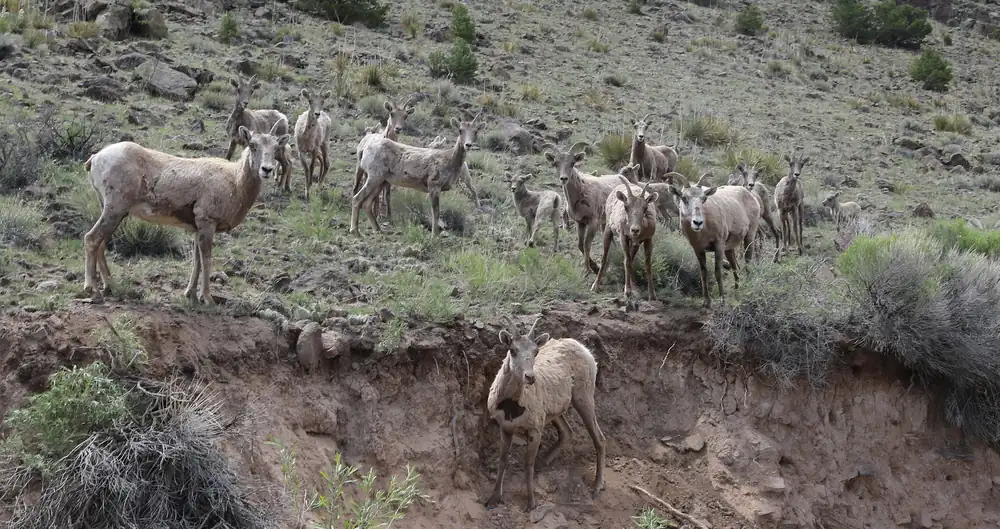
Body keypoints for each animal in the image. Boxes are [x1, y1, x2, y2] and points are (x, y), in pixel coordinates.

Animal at [82, 119, 290, 305]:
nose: (267, 170)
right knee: (91, 239)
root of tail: (96, 158)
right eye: (253, 145)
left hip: (113, 211)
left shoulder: (197, 228)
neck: (235, 182)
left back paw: (110, 286)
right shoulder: (207, 223)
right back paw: (93, 290)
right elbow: (206, 259)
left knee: (101, 243)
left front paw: (190, 295)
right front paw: (207, 299)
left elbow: (196, 261)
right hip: (114, 210)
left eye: (275, 148)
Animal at [350, 115, 483, 236]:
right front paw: (434, 236)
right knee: (357, 198)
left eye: (476, 131)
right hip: (374, 177)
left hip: (381, 181)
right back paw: (355, 231)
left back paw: (378, 230)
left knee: (366, 204)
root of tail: (365, 148)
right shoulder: (434, 187)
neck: (450, 160)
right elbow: (436, 213)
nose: (468, 145)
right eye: (460, 130)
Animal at [485, 316, 605, 512]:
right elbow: (502, 461)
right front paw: (493, 500)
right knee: (567, 432)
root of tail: (585, 350)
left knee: (599, 439)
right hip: (556, 411)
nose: (530, 377)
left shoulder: (535, 429)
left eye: (535, 351)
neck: (512, 407)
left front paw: (530, 504)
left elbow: (528, 464)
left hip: (584, 398)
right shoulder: (505, 427)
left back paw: (596, 487)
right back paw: (544, 462)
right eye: (513, 350)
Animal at [544, 142, 634, 275]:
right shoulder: (580, 223)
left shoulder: (592, 222)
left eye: (572, 163)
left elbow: (587, 245)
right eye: (555, 163)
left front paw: (588, 269)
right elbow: (580, 245)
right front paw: (594, 267)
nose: (564, 178)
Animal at [668, 175, 761, 308]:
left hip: (749, 236)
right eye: (684, 198)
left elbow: (718, 272)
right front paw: (706, 302)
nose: (697, 222)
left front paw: (722, 301)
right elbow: (704, 273)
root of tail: (751, 195)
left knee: (747, 262)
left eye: (703, 199)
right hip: (729, 249)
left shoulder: (719, 246)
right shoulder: (698, 250)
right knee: (736, 268)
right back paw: (736, 294)